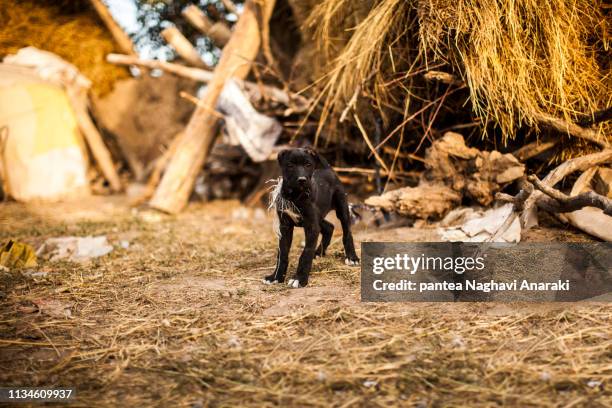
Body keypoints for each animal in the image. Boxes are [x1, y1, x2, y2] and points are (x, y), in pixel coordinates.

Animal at [262, 147, 358, 286]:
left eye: (308, 165)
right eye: (290, 165)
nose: (302, 180)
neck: (296, 196)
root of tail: (328, 169)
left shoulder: (311, 226)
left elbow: (306, 252)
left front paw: (299, 279)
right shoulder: (285, 226)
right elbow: (282, 253)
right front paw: (276, 277)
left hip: (342, 209)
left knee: (347, 233)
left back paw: (352, 257)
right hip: (319, 217)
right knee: (329, 227)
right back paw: (318, 253)